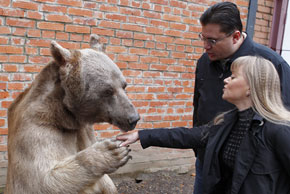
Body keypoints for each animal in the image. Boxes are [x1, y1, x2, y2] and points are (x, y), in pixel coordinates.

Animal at [5, 34, 140, 194]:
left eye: (124, 85)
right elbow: (41, 181)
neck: (65, 116)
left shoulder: (84, 130)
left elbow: (107, 183)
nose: (133, 118)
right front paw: (112, 151)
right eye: (108, 91)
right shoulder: (37, 129)